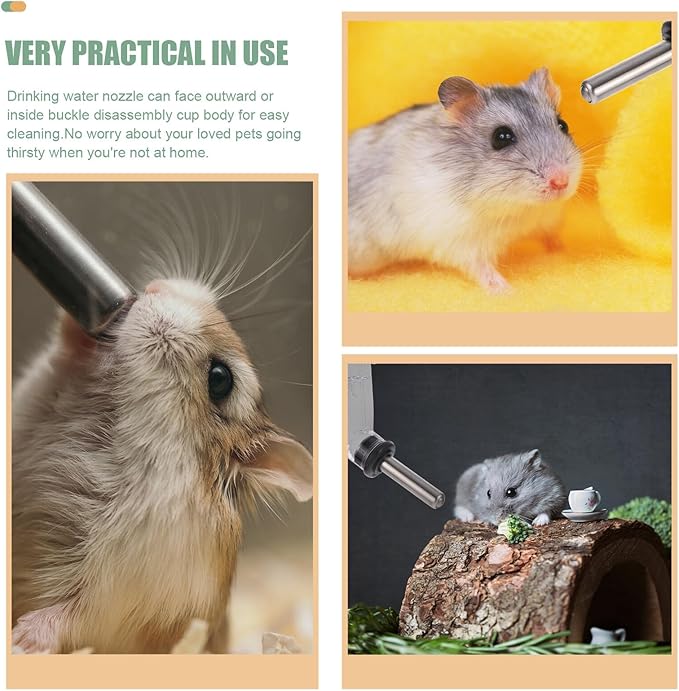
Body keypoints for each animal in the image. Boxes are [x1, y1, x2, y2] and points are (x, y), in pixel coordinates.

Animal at [11, 278, 312, 654]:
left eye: (220, 379)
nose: (155, 287)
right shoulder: (33, 404)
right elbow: (53, 366)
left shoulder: (126, 592)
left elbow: (76, 615)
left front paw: (20, 640)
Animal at [348, 68, 582, 293]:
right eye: (501, 137)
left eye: (563, 125)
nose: (561, 182)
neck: (519, 208)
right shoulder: (461, 241)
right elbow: (481, 268)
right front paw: (507, 291)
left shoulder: (546, 219)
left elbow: (552, 237)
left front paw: (565, 252)